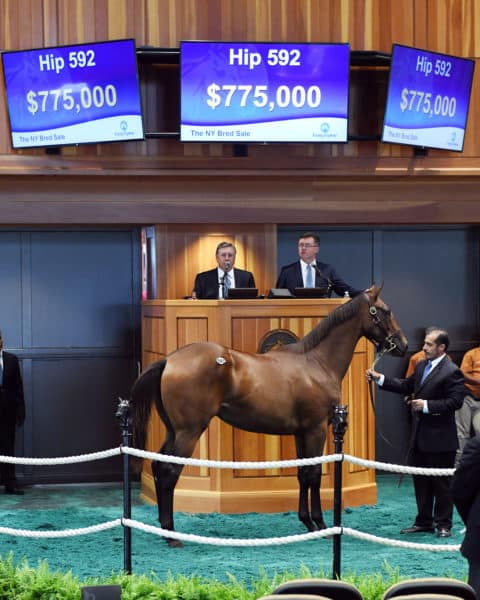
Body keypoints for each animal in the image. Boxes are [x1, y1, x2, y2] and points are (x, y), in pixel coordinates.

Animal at [129, 284, 406, 548]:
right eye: (386, 310)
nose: (402, 345)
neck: (316, 363)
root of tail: (169, 361)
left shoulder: (301, 432)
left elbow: (303, 473)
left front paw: (307, 522)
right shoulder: (316, 429)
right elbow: (315, 473)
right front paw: (320, 524)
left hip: (173, 431)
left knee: (157, 465)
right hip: (189, 433)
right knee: (169, 472)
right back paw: (171, 534)